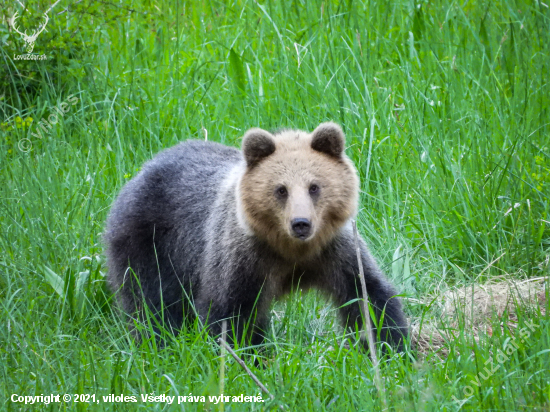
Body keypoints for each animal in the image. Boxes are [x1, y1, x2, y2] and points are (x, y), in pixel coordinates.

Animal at [105, 121, 410, 350]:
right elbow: (228, 313)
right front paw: (239, 357)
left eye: (314, 186)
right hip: (150, 242)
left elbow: (368, 296)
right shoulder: (244, 257)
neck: (291, 251)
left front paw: (393, 348)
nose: (301, 223)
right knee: (152, 302)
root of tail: (143, 169)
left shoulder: (334, 250)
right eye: (281, 189)